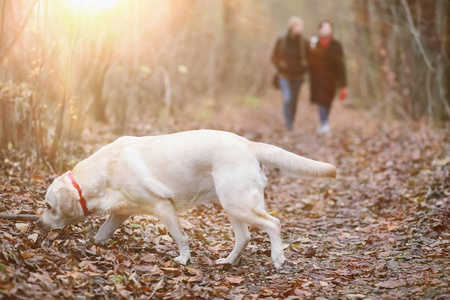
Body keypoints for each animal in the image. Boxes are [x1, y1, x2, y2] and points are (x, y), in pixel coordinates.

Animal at [38, 130, 336, 268]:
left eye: (49, 206)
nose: (39, 224)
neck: (104, 173)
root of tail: (248, 144)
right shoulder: (121, 212)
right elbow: (102, 232)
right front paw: (91, 245)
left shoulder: (162, 206)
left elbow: (180, 236)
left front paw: (183, 259)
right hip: (231, 205)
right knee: (245, 237)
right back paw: (228, 262)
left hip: (238, 203)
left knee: (274, 224)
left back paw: (277, 257)